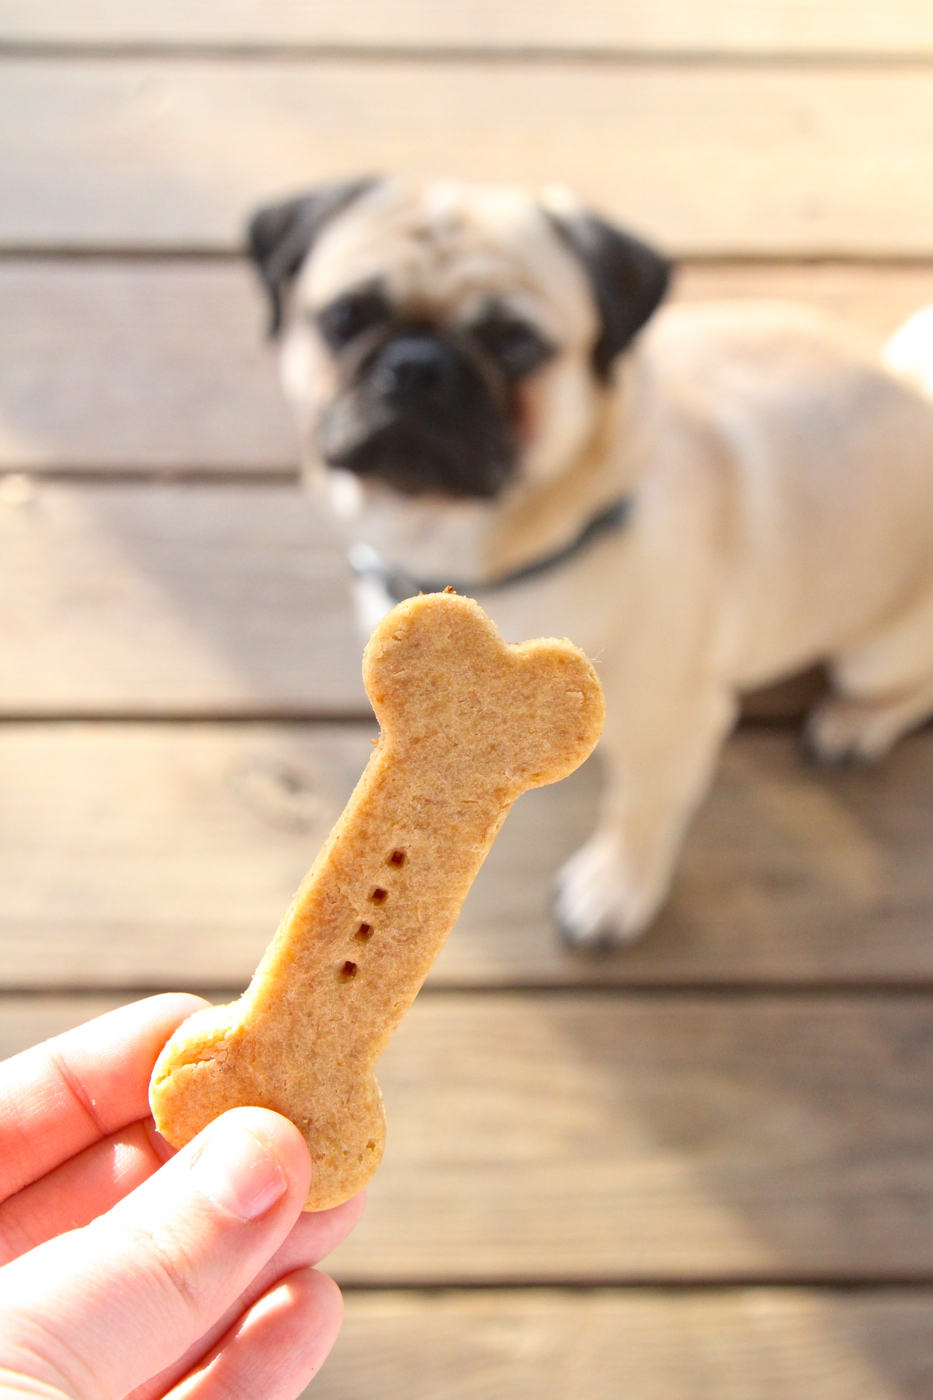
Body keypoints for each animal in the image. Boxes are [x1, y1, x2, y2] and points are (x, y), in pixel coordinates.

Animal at [249, 177, 933, 952]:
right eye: (344, 317)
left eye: (515, 342)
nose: (418, 365)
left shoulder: (672, 728)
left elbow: (641, 811)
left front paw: (614, 888)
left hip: (875, 653)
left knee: (904, 690)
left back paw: (853, 723)